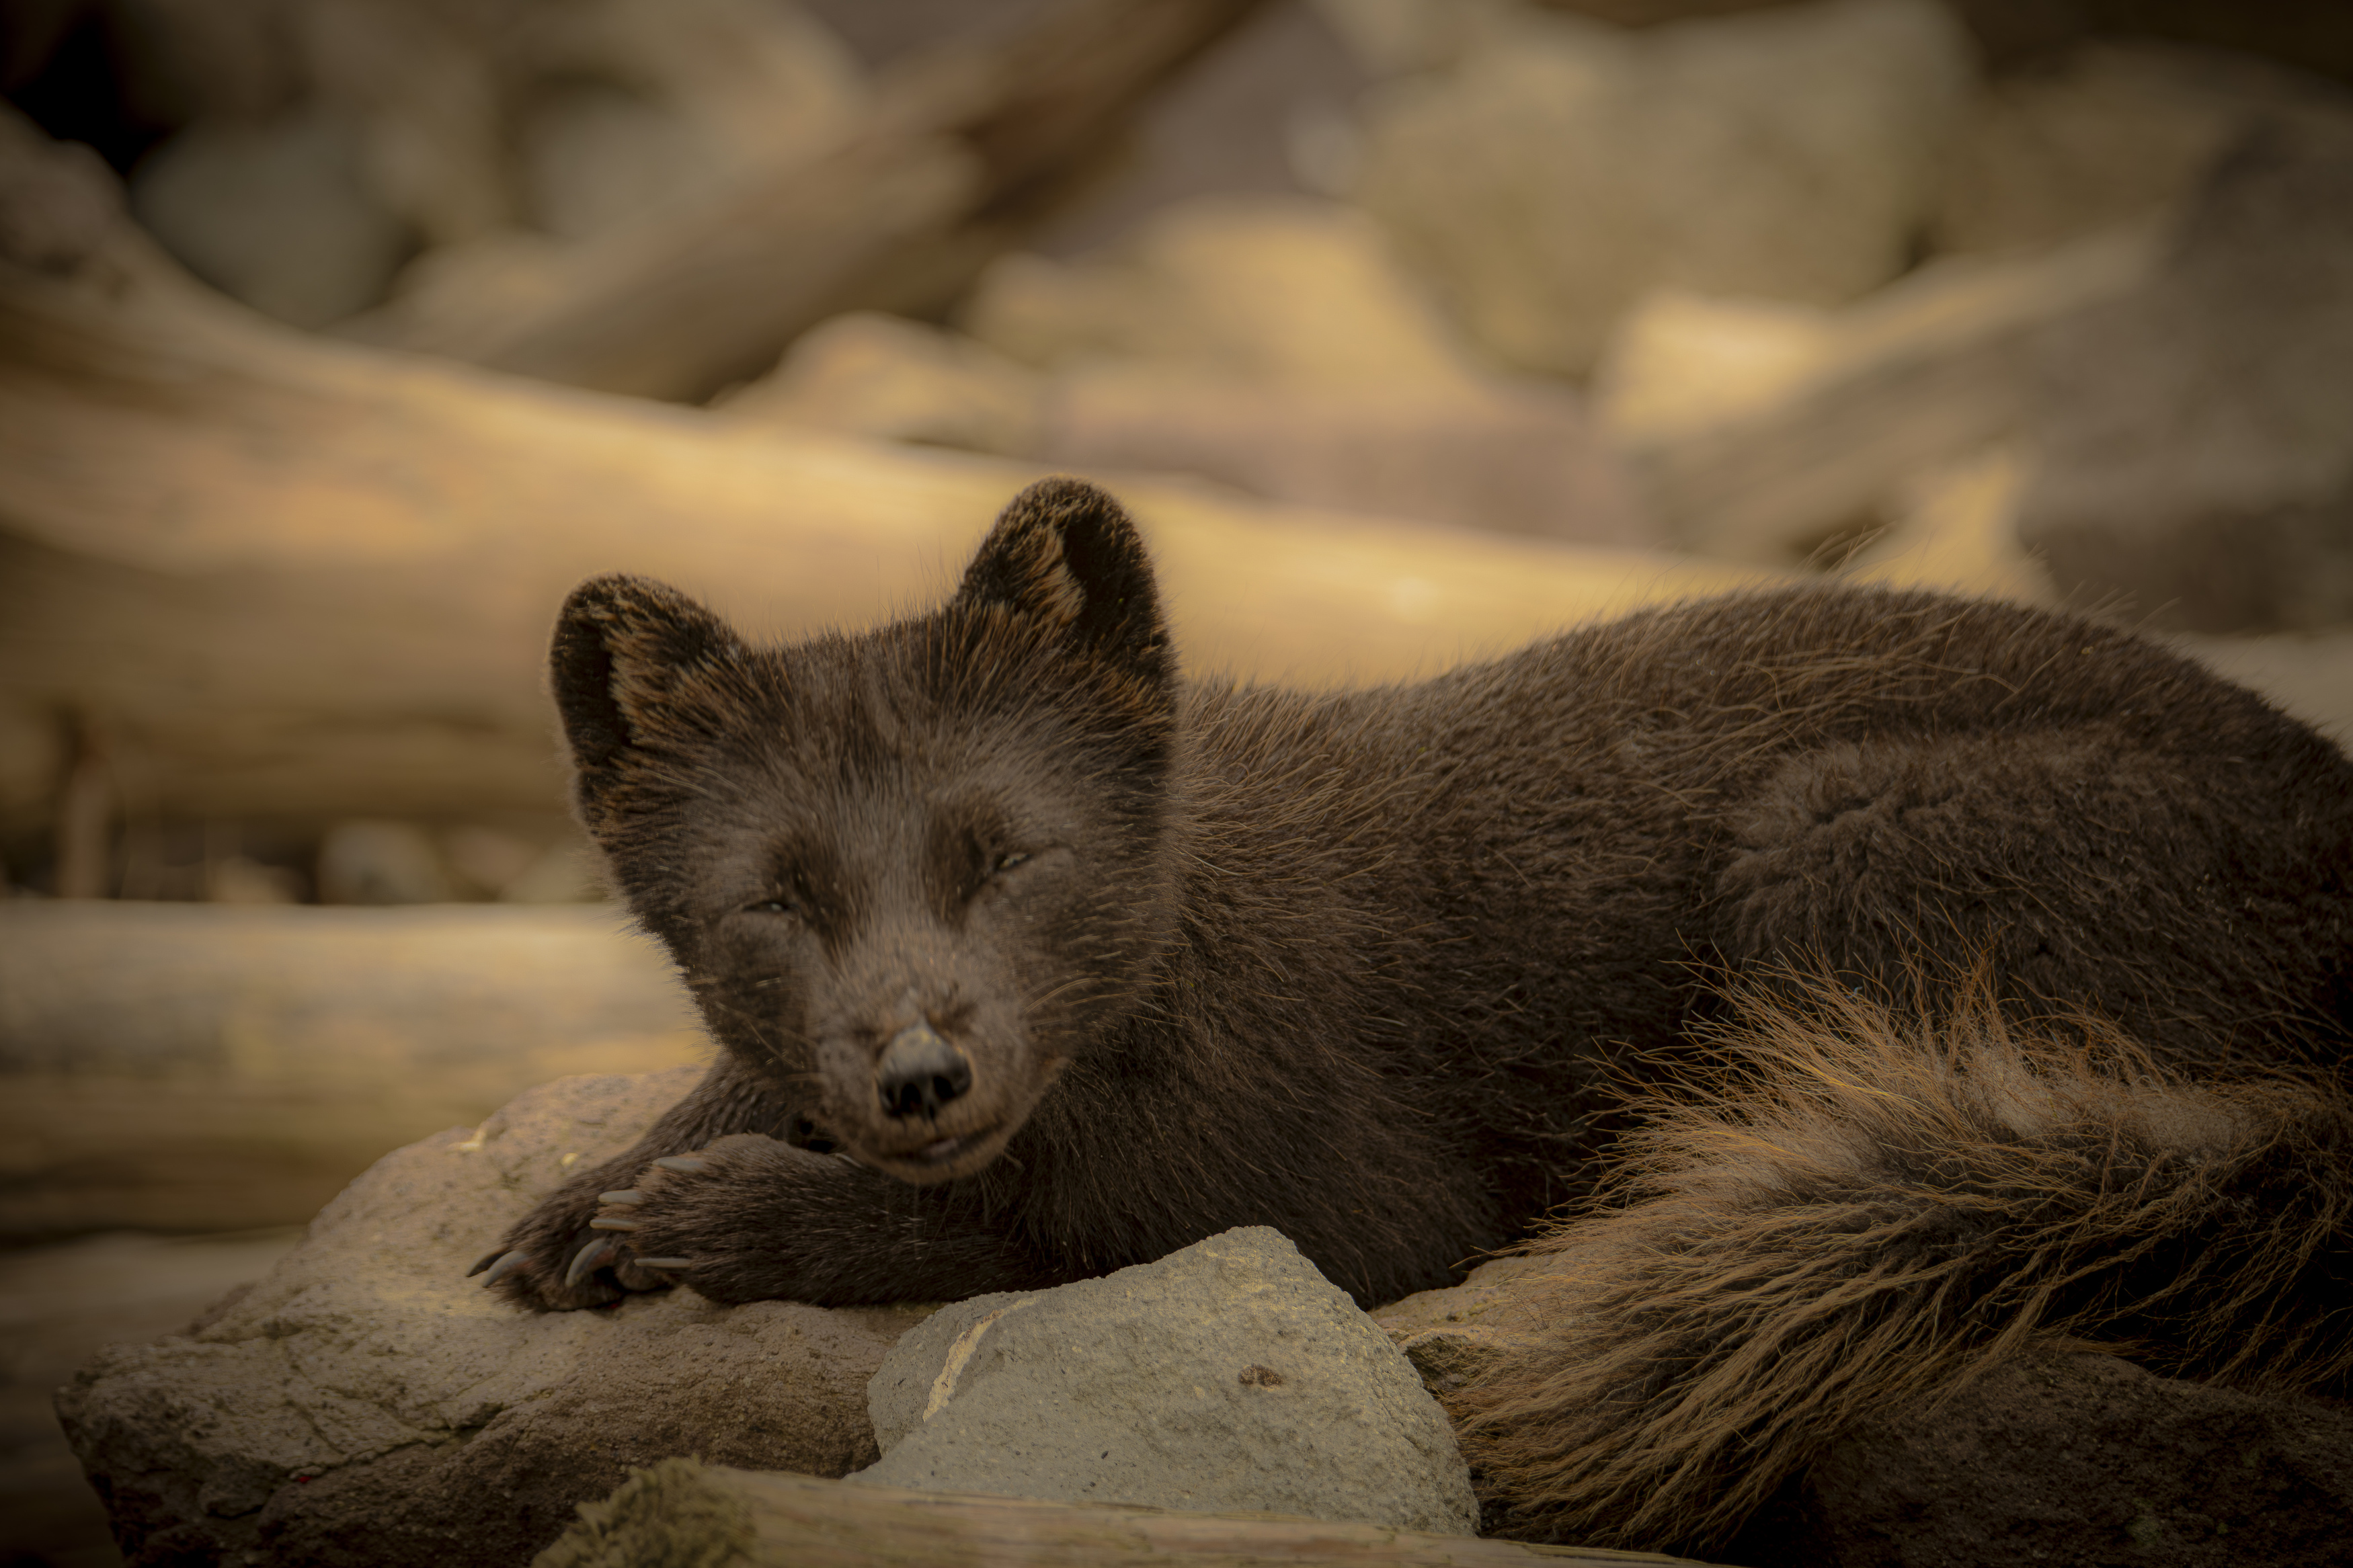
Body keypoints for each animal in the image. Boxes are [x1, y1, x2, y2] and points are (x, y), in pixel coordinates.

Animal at [477, 479, 2353, 1561]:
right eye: (773, 901)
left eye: (1009, 853)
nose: (922, 1074)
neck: (1203, 946)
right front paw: (575, 1209)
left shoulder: (1357, 1201)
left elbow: (1031, 1226)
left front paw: (701, 1214)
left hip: (1831, 840)